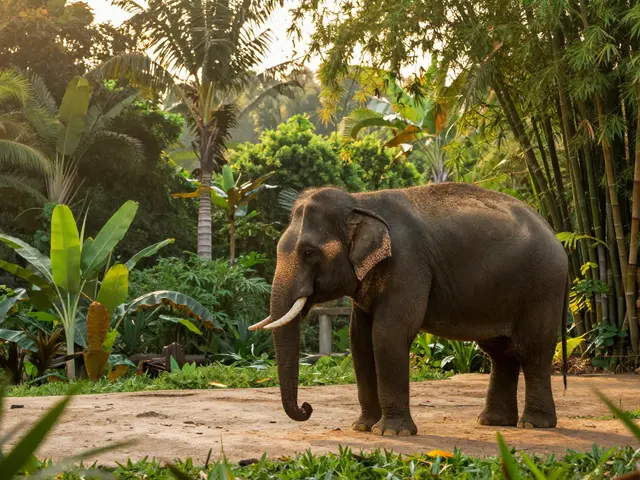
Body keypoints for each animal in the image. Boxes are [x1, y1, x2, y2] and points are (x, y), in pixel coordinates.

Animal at [250, 182, 569, 436]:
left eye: (308, 253)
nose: (307, 407)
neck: (361, 201)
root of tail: (557, 237)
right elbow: (359, 340)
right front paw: (363, 427)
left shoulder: (408, 264)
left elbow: (387, 335)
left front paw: (390, 432)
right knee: (501, 352)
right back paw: (493, 422)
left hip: (542, 288)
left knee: (533, 350)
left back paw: (534, 424)